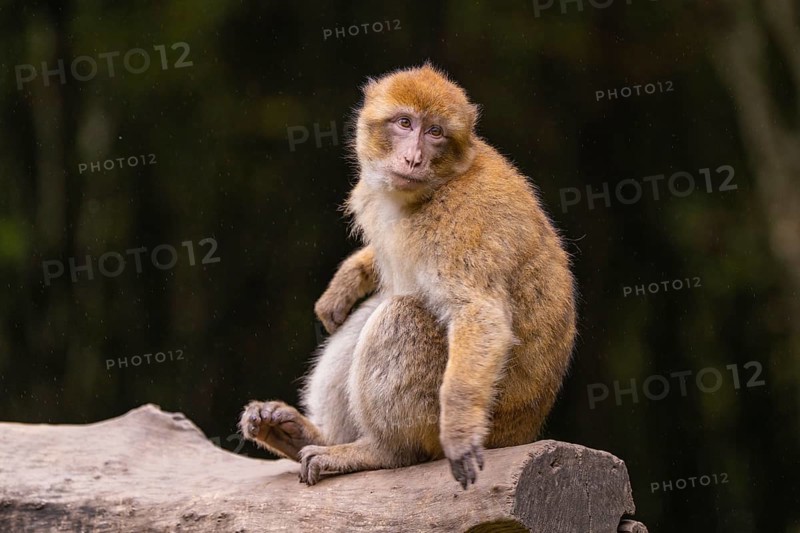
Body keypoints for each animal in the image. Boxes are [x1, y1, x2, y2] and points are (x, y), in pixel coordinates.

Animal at [240, 63, 576, 489]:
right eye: (404, 123)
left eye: (435, 132)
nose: (414, 158)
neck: (438, 186)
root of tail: (522, 432)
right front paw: (348, 279)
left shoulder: (463, 224)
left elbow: (480, 315)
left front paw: (458, 427)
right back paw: (305, 434)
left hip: (467, 425)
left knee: (400, 314)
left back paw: (383, 451)